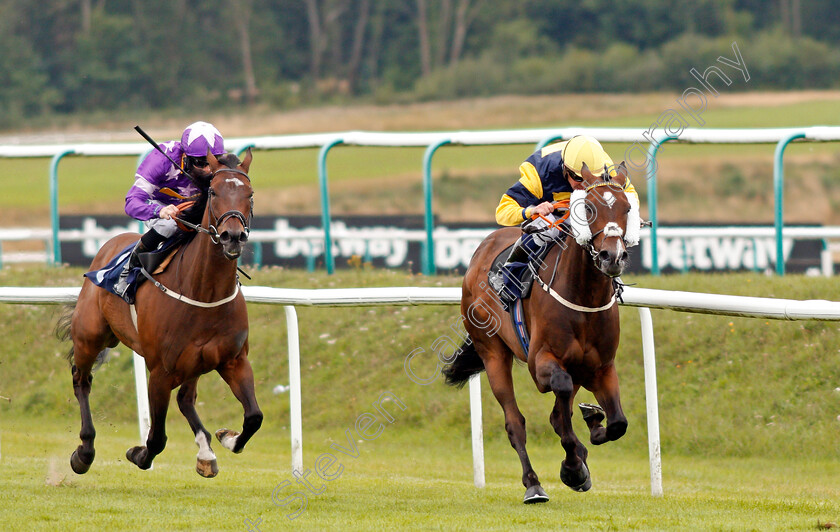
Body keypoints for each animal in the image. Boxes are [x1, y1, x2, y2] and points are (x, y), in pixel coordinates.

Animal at [56, 150, 260, 478]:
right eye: (214, 192)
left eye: (249, 194)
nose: (233, 237)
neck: (204, 292)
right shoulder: (160, 372)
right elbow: (157, 438)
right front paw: (137, 453)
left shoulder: (234, 360)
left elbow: (254, 416)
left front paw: (227, 438)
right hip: (90, 336)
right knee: (81, 380)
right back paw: (84, 452)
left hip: (194, 363)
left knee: (186, 399)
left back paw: (206, 452)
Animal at [442, 161, 640, 502]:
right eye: (588, 207)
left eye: (627, 207)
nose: (612, 257)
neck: (583, 298)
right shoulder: (541, 362)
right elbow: (560, 399)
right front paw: (572, 468)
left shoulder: (601, 367)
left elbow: (617, 423)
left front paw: (592, 424)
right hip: (492, 351)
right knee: (515, 423)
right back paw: (533, 484)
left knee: (560, 415)